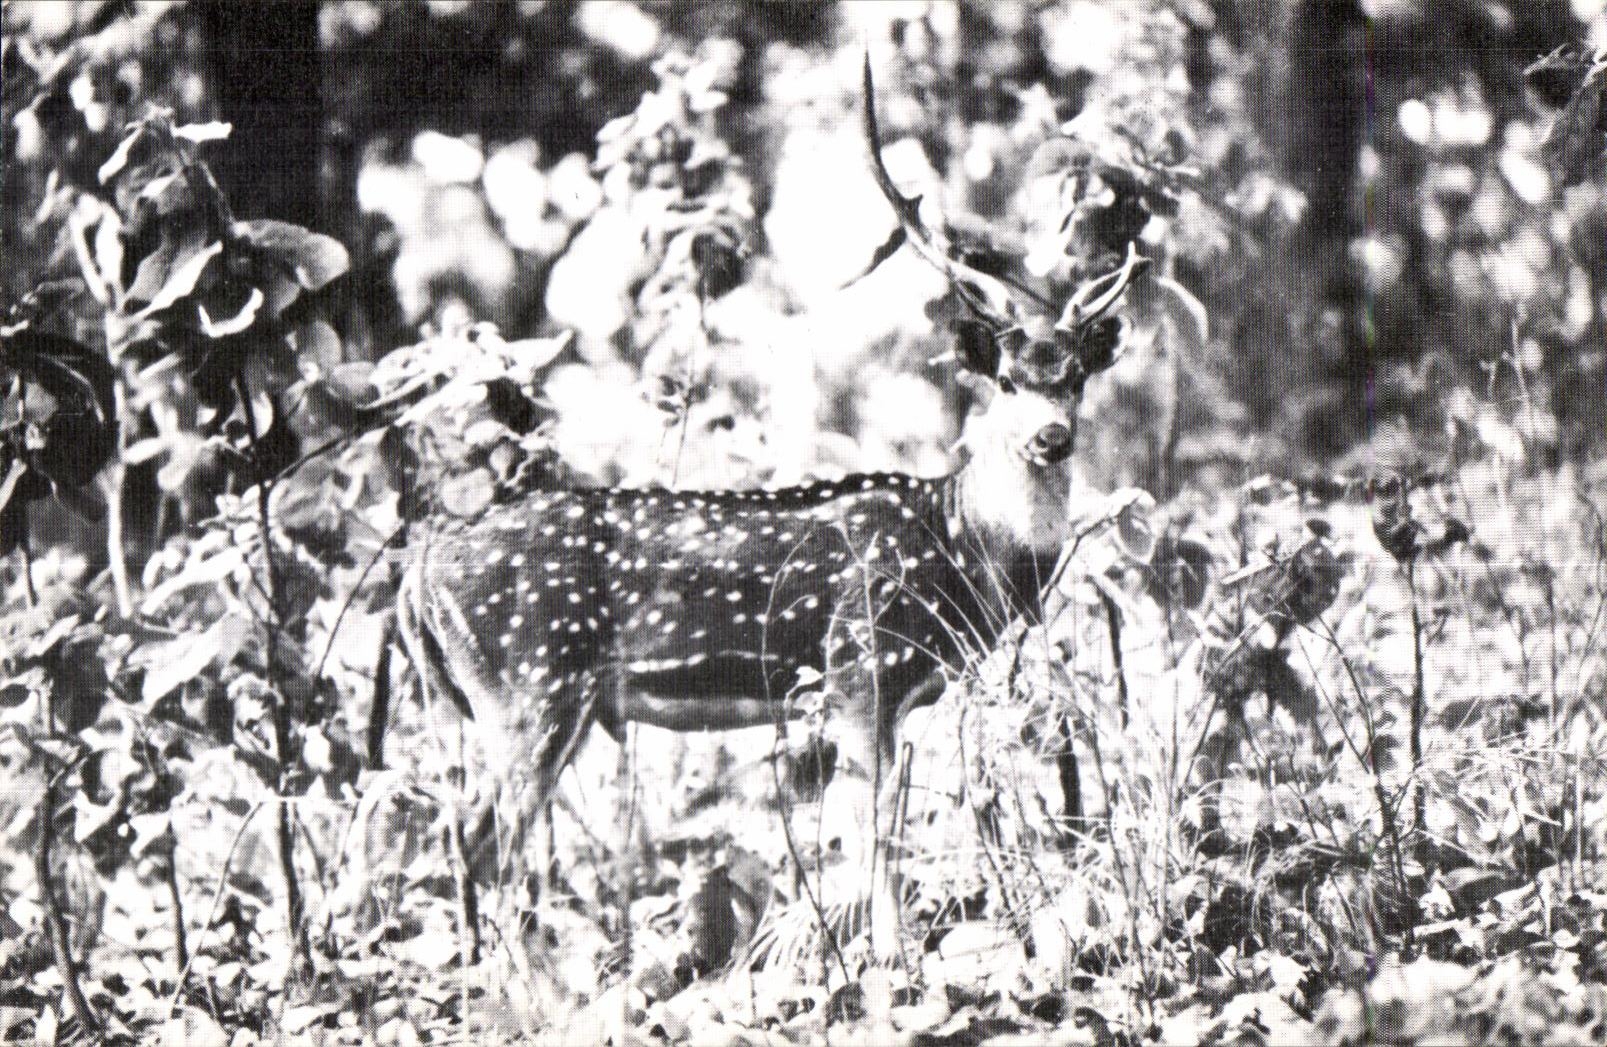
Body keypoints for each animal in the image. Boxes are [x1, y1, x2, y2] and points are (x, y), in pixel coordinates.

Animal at [394, 58, 1148, 962]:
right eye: (1004, 378)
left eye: (1074, 376)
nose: (1050, 436)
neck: (958, 547)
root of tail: (417, 574)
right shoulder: (858, 662)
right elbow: (875, 829)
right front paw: (886, 957)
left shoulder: (903, 692)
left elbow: (889, 818)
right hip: (530, 680)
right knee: (495, 849)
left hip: (489, 698)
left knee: (461, 838)